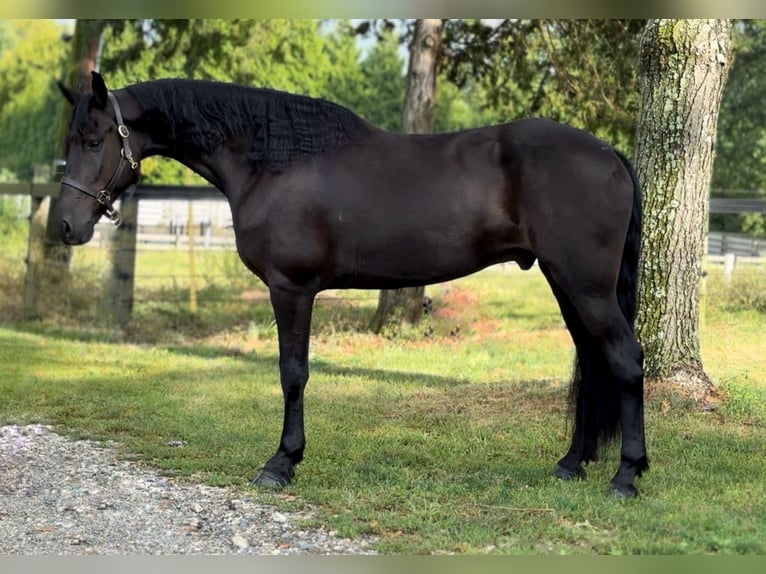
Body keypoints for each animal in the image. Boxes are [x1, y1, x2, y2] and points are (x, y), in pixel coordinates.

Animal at [55, 71, 648, 498]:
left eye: (93, 140)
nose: (64, 226)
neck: (274, 162)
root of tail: (609, 155)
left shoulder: (290, 289)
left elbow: (293, 373)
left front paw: (281, 463)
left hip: (586, 287)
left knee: (624, 359)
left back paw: (626, 476)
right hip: (566, 284)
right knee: (591, 358)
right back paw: (573, 463)